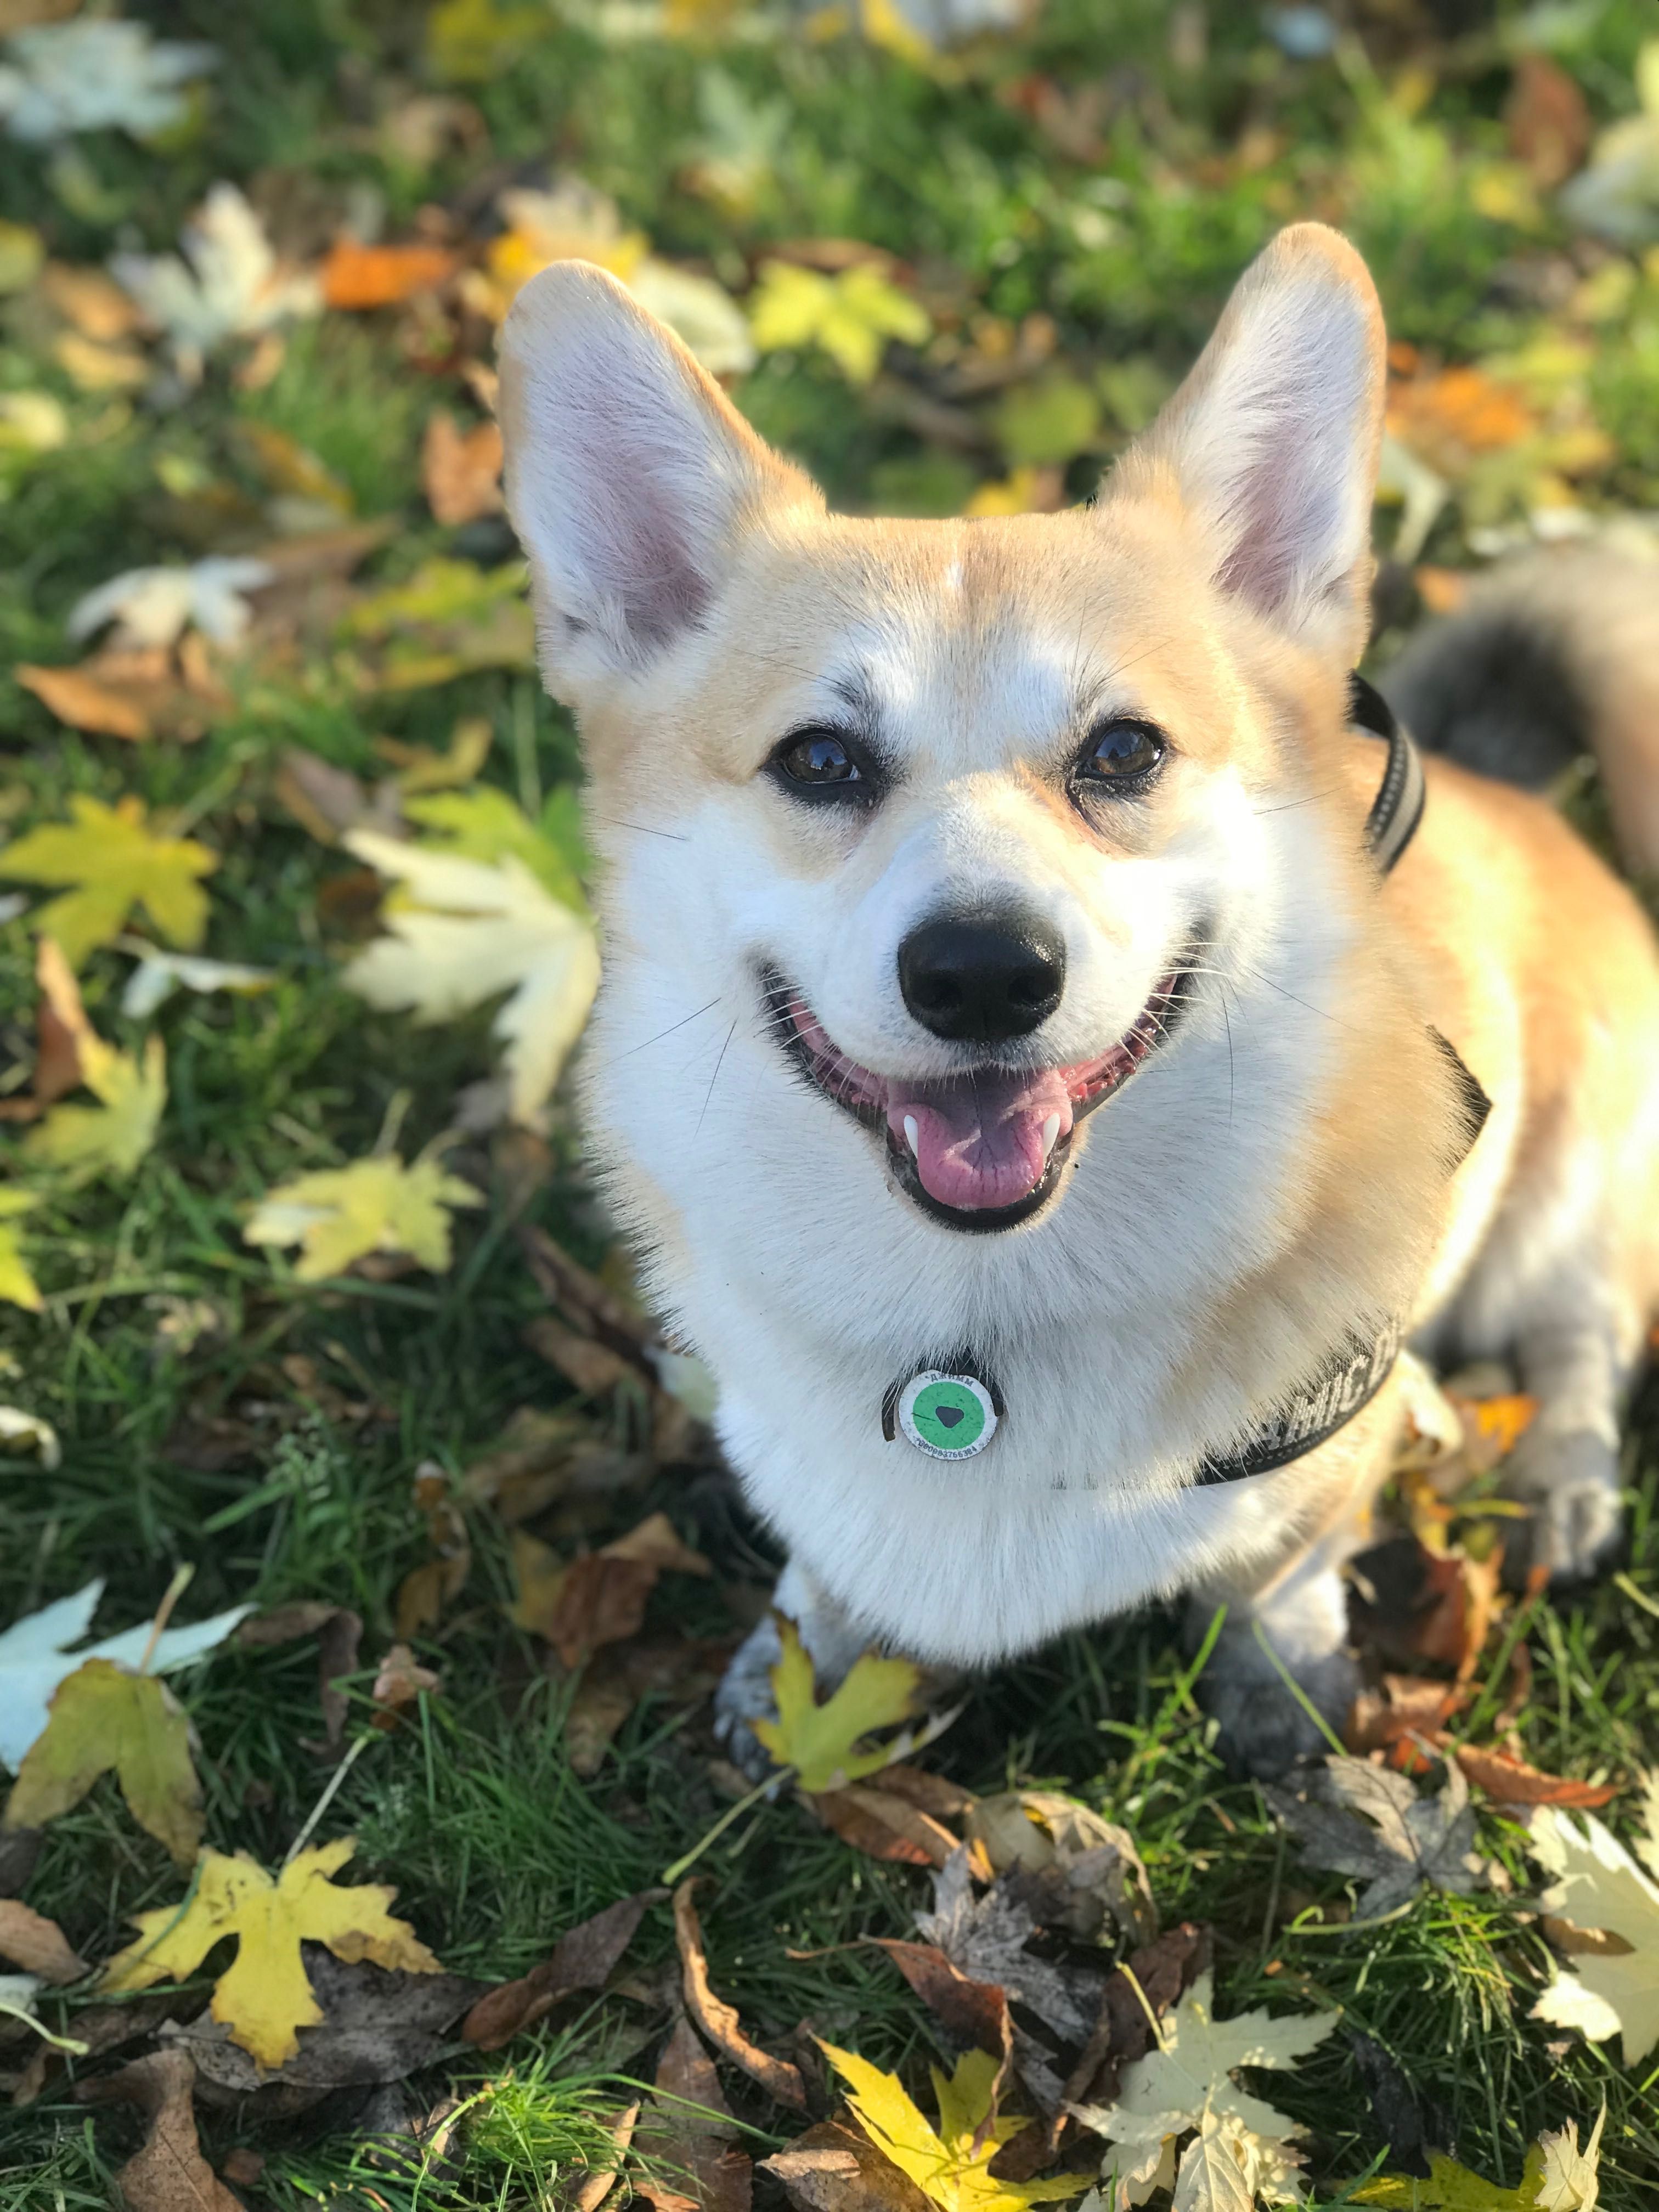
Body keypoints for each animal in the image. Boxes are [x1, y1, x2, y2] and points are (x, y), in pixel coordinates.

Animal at [500, 229, 1659, 1778]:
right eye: (819, 760)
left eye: (1123, 752)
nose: (984, 974)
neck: (978, 1317)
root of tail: (1504, 787)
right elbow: (823, 1550)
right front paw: (804, 1659)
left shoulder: (1331, 1430)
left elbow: (1283, 1569)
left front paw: (1285, 1694)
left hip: (1572, 1182)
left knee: (1586, 1331)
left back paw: (1562, 1478)